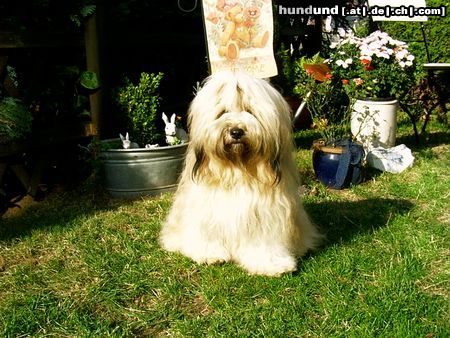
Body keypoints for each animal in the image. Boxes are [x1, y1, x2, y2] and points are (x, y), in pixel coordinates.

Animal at [160, 70, 322, 274]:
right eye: (222, 112)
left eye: (250, 111)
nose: (236, 131)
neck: (237, 170)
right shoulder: (207, 211)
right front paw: (209, 254)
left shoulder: (266, 215)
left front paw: (271, 263)